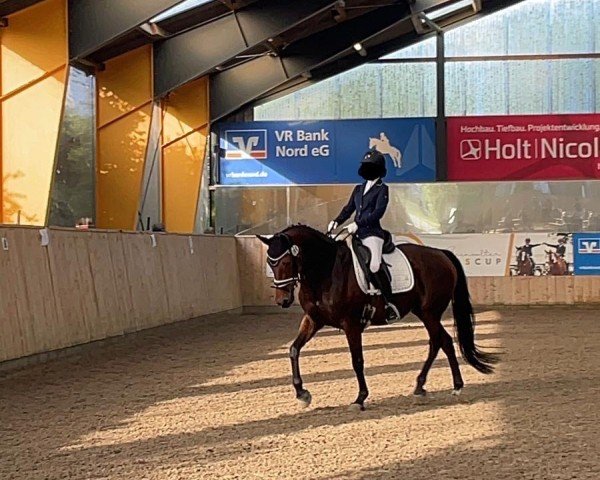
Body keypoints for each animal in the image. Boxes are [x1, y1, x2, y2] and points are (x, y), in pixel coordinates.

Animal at [258, 225, 496, 408]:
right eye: (270, 263)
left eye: (286, 262)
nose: (282, 301)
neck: (325, 271)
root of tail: (440, 253)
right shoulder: (314, 320)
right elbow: (293, 349)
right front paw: (302, 394)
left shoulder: (351, 324)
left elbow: (357, 360)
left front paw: (360, 398)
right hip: (424, 312)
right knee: (442, 341)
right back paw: (431, 386)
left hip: (430, 312)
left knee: (439, 341)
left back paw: (450, 386)